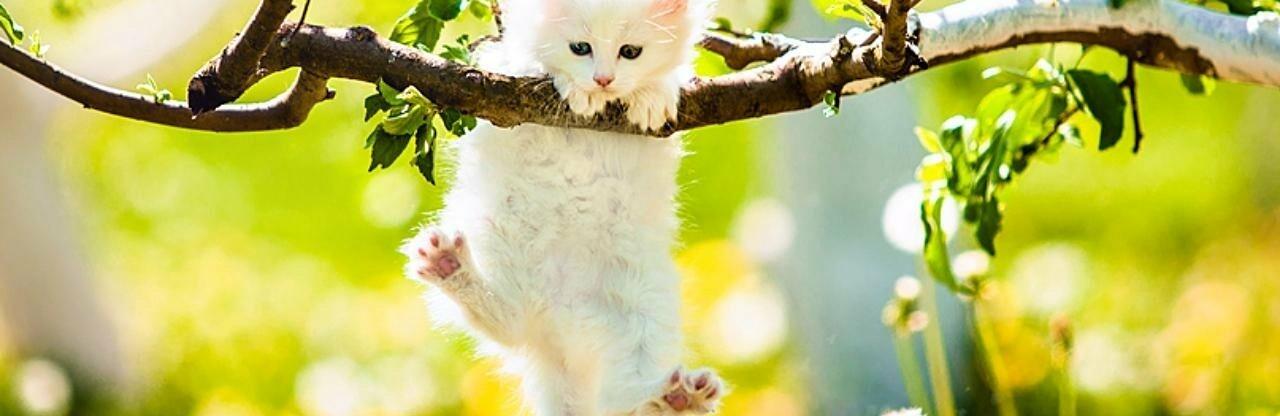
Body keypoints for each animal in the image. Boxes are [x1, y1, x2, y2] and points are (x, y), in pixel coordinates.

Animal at [399, 0, 725, 413]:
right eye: (580, 48)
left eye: (630, 52)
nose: (603, 80)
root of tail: (558, 333)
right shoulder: (500, 73)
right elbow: (531, 64)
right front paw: (573, 89)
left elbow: (668, 78)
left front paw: (653, 97)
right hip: (497, 236)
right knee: (506, 319)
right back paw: (448, 265)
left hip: (645, 312)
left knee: (625, 399)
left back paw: (677, 399)